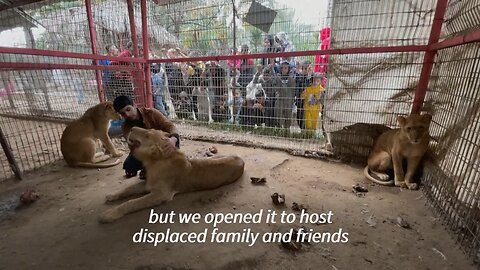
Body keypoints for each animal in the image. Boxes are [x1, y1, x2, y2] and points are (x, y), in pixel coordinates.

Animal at [100, 127, 246, 223]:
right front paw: (112, 195)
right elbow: (128, 189)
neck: (153, 161)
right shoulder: (149, 184)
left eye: (147, 134)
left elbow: (132, 202)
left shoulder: (162, 194)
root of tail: (241, 159)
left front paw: (109, 214)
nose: (131, 128)